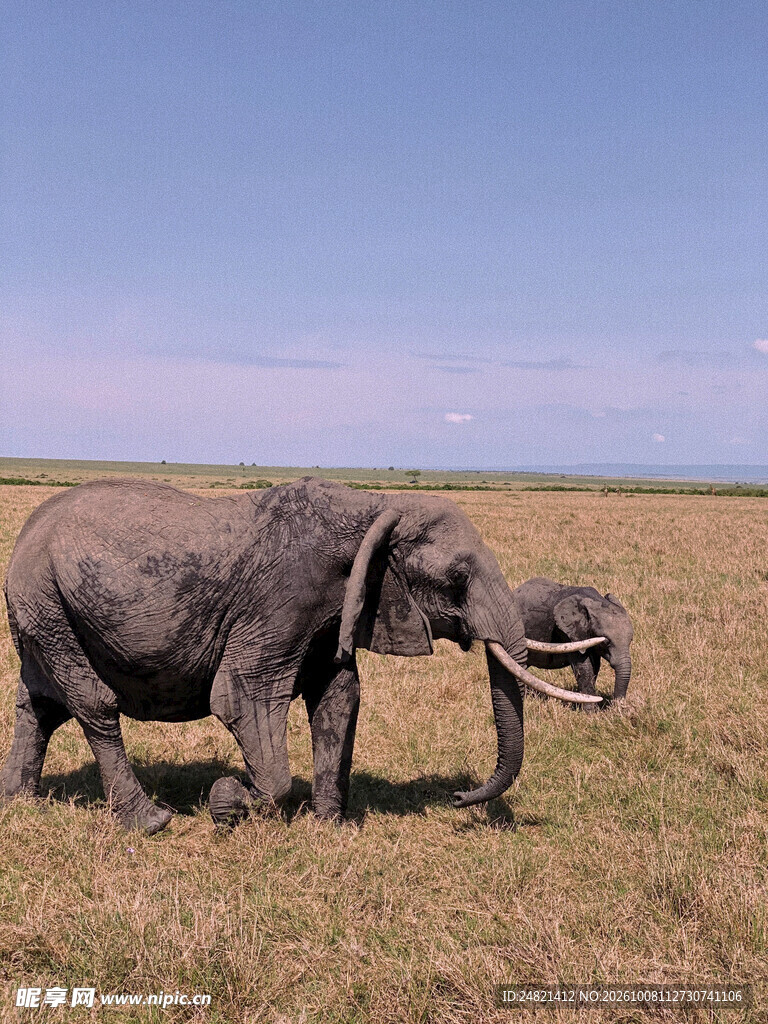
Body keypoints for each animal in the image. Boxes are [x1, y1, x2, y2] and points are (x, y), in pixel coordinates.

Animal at [1, 478, 600, 833]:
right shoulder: (281, 599)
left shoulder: (335, 608)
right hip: (47, 601)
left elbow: (339, 697)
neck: (373, 506)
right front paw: (228, 802)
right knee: (93, 704)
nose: (456, 797)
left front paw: (330, 826)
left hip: (42, 611)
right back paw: (151, 822)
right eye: (456, 576)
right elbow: (244, 697)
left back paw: (19, 802)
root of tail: (26, 533)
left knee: (39, 705)